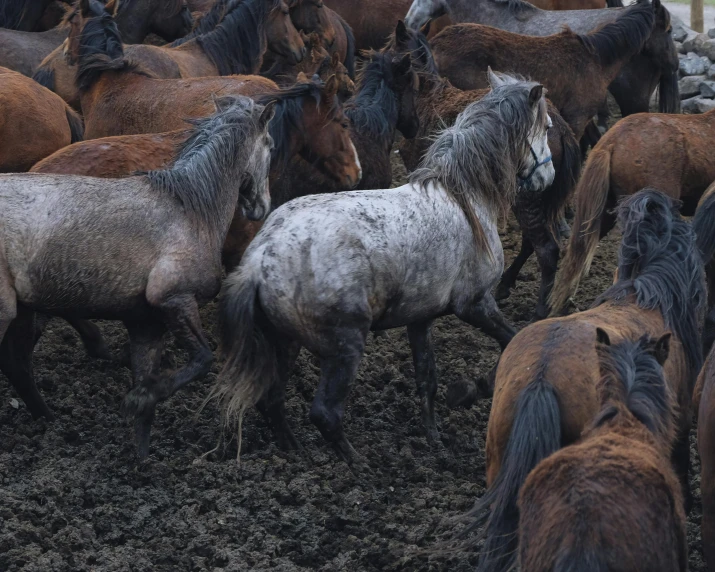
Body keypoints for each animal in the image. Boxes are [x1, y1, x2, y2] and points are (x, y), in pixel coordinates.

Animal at [386, 24, 580, 320]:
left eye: (386, 50)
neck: (427, 96)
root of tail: (562, 127)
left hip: (527, 200)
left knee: (546, 250)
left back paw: (539, 311)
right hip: (532, 198)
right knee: (530, 241)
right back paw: (506, 284)